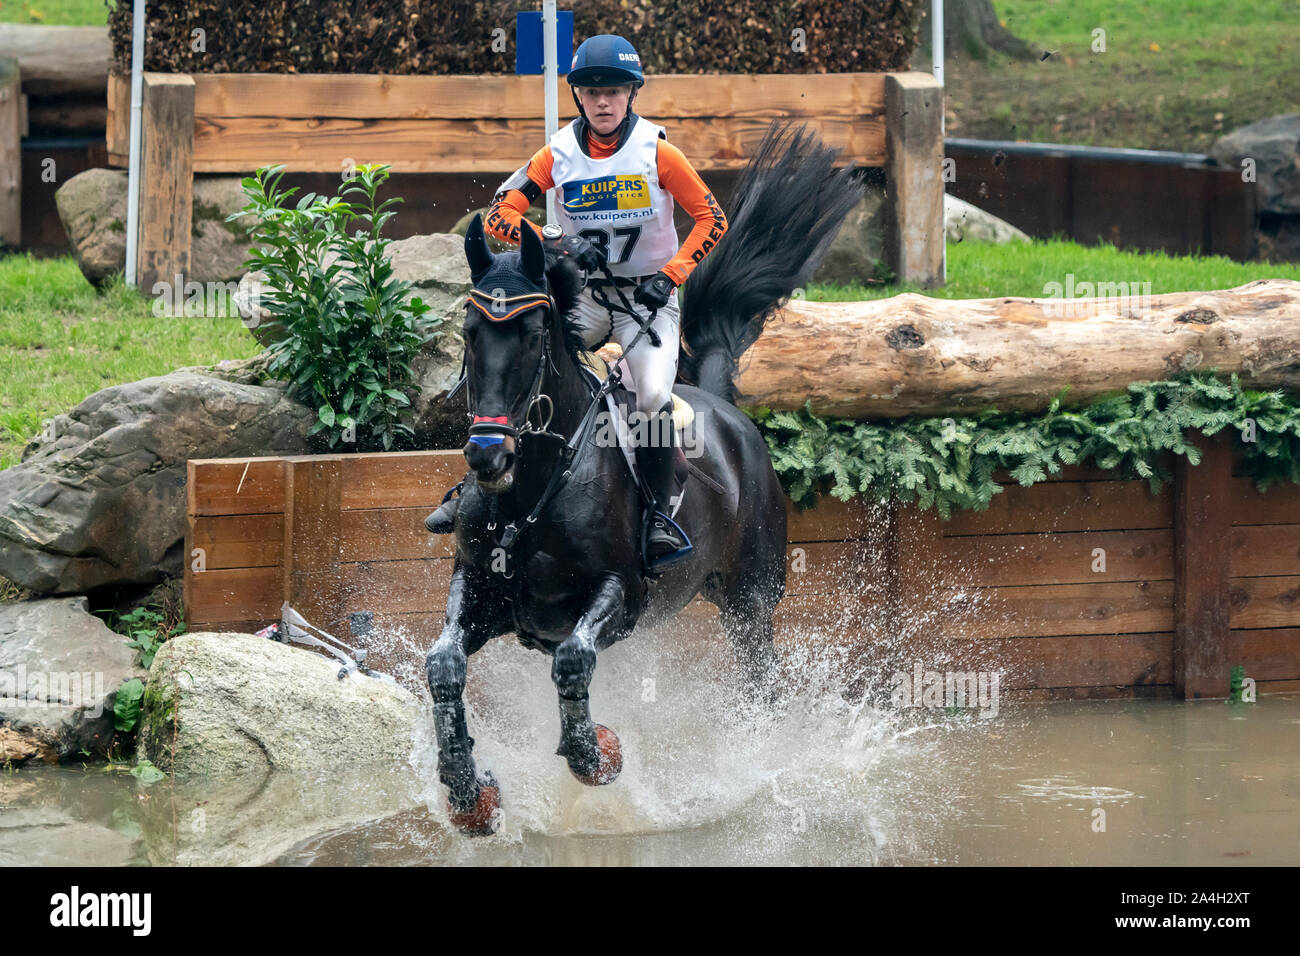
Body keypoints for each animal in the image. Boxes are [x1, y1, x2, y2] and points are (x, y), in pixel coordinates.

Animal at [426, 123, 863, 832]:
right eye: (469, 332)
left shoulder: (621, 595)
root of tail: (725, 407)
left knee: (760, 686)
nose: (487, 457)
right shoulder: (482, 588)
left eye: (532, 333)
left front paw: (593, 755)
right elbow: (443, 666)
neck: (534, 489)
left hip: (751, 602)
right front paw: (467, 790)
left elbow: (573, 661)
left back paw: (756, 769)